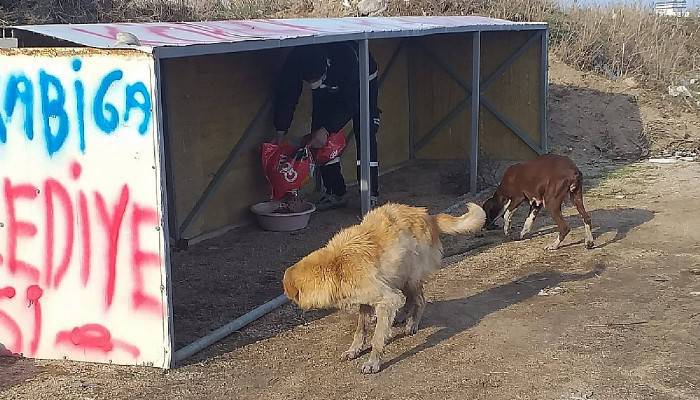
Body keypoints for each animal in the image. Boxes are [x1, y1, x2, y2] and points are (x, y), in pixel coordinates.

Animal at [282, 203, 484, 376]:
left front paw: (373, 362)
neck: (337, 266)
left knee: (420, 300)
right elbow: (361, 330)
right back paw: (402, 316)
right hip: (398, 277)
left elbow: (377, 337)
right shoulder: (366, 301)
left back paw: (412, 324)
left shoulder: (386, 298)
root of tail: (427, 216)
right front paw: (354, 350)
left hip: (410, 278)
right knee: (408, 300)